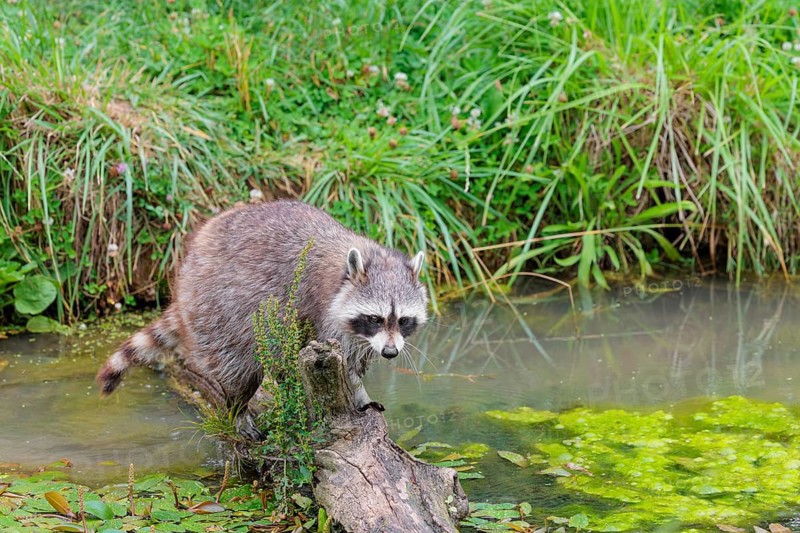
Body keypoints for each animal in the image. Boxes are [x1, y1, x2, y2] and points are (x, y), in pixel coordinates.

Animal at [96, 200, 428, 426]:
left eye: (403, 320)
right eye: (375, 318)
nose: (390, 353)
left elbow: (355, 360)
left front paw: (361, 396)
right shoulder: (324, 310)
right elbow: (343, 361)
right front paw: (355, 392)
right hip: (216, 306)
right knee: (237, 363)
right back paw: (237, 406)